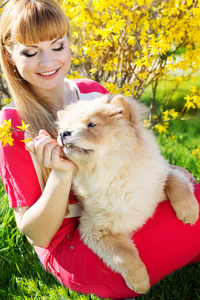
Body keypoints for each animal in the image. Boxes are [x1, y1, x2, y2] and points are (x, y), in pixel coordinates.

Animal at [56, 95, 198, 294]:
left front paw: (189, 212)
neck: (114, 173)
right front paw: (140, 283)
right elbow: (124, 255)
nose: (63, 133)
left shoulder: (161, 176)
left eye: (91, 124)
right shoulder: (93, 228)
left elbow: (176, 180)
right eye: (64, 127)